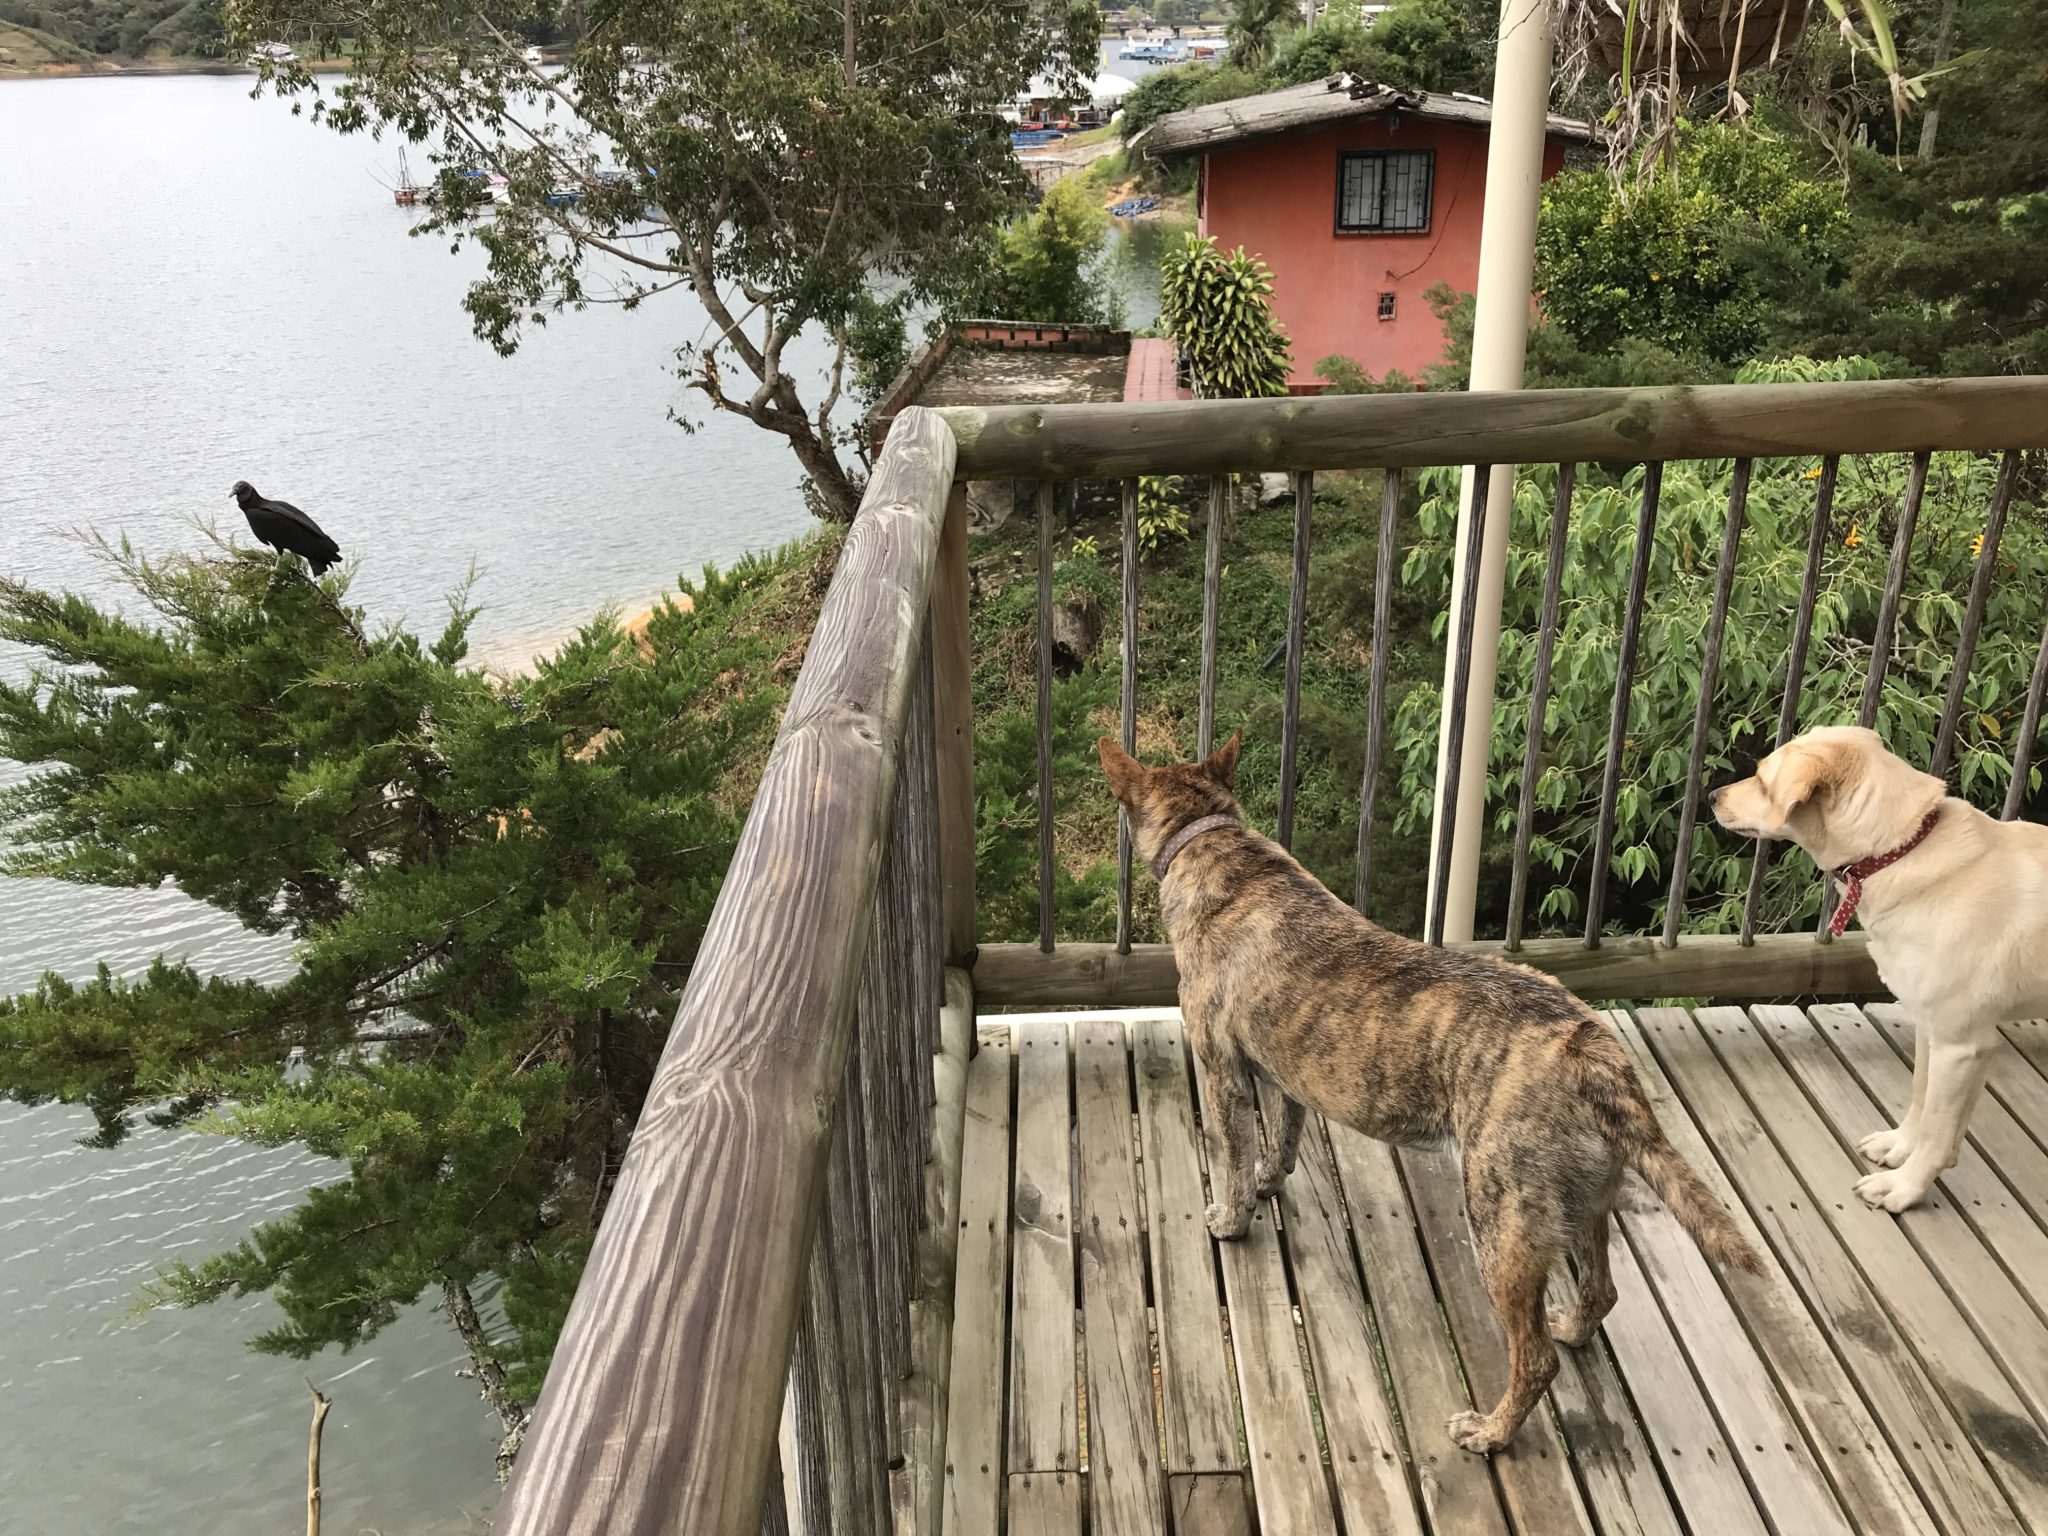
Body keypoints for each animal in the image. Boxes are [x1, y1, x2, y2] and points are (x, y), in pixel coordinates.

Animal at [1105, 733, 1761, 1458]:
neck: (1212, 837)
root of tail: (1594, 1054)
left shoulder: (1222, 1069)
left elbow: (1232, 1158)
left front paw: (1230, 1218)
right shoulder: (1283, 1073)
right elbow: (1282, 1140)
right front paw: (1270, 1180)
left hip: (1502, 1225)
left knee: (1535, 1358)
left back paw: (1490, 1431)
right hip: (1585, 1205)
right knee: (1602, 1292)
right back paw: (1572, 1327)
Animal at [1712, 729, 2048, 1212]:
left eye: (1761, 780)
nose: (1711, 796)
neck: (1899, 850)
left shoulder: (1961, 1045)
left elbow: (1936, 1129)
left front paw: (1904, 1187)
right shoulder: (1939, 1032)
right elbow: (1923, 1102)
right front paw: (1899, 1148)